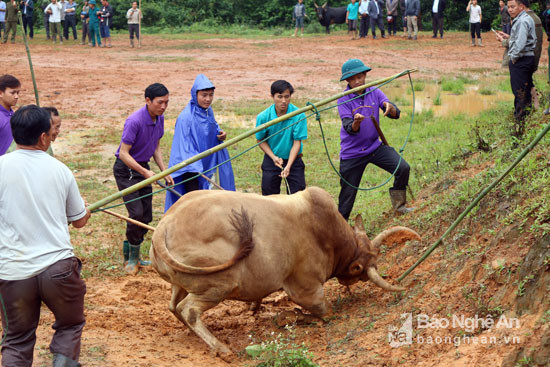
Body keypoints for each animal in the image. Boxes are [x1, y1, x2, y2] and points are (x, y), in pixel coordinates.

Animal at [150, 187, 418, 356]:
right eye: (360, 270)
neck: (328, 235)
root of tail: (164, 225)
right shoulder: (306, 289)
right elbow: (324, 312)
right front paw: (288, 317)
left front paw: (258, 308)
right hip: (220, 285)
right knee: (189, 311)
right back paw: (222, 349)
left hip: (181, 284)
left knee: (174, 307)